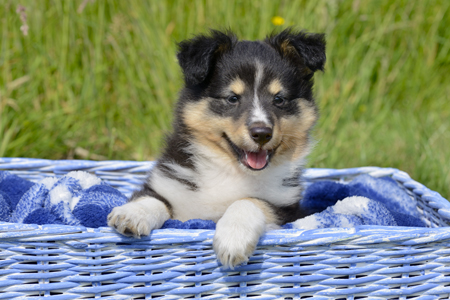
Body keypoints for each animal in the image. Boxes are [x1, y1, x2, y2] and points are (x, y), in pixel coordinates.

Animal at [109, 27, 326, 268]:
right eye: (232, 98)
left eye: (279, 99)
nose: (261, 134)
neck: (229, 170)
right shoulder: (172, 186)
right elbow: (154, 199)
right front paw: (131, 214)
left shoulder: (287, 208)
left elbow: (249, 200)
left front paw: (232, 240)